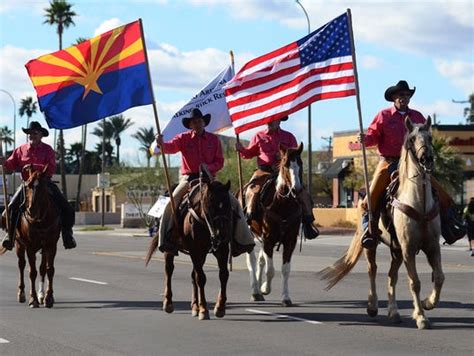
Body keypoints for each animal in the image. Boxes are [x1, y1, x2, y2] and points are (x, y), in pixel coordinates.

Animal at [0, 167, 61, 308]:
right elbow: (32, 272)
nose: (31, 210)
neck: (40, 220)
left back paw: (41, 295)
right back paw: (22, 294)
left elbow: (49, 270)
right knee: (21, 265)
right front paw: (33, 299)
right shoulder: (30, 247)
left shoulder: (51, 245)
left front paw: (48, 298)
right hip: (19, 245)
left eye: (43, 187)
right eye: (28, 186)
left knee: (42, 269)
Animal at [144, 168, 233, 322]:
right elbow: (201, 278)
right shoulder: (195, 250)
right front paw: (204, 309)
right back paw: (168, 303)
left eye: (228, 205)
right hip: (171, 250)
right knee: (169, 270)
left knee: (193, 275)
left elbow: (223, 275)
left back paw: (194, 306)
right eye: (210, 205)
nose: (221, 234)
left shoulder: (221, 249)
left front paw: (219, 307)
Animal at [244, 143, 304, 304]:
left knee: (260, 260)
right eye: (285, 165)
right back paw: (255, 291)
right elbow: (270, 270)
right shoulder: (268, 239)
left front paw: (286, 297)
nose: (296, 189)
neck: (282, 204)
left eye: (300, 164)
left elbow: (285, 270)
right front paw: (265, 288)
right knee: (252, 261)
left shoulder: (290, 240)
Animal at [320, 118, 442, 330]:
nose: (426, 159)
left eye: (430, 137)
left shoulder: (432, 246)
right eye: (412, 138)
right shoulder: (409, 249)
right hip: (372, 245)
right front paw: (420, 317)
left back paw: (393, 312)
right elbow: (415, 282)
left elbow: (439, 278)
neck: (418, 203)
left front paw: (428, 303)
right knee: (373, 270)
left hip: (397, 250)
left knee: (391, 275)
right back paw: (372, 306)